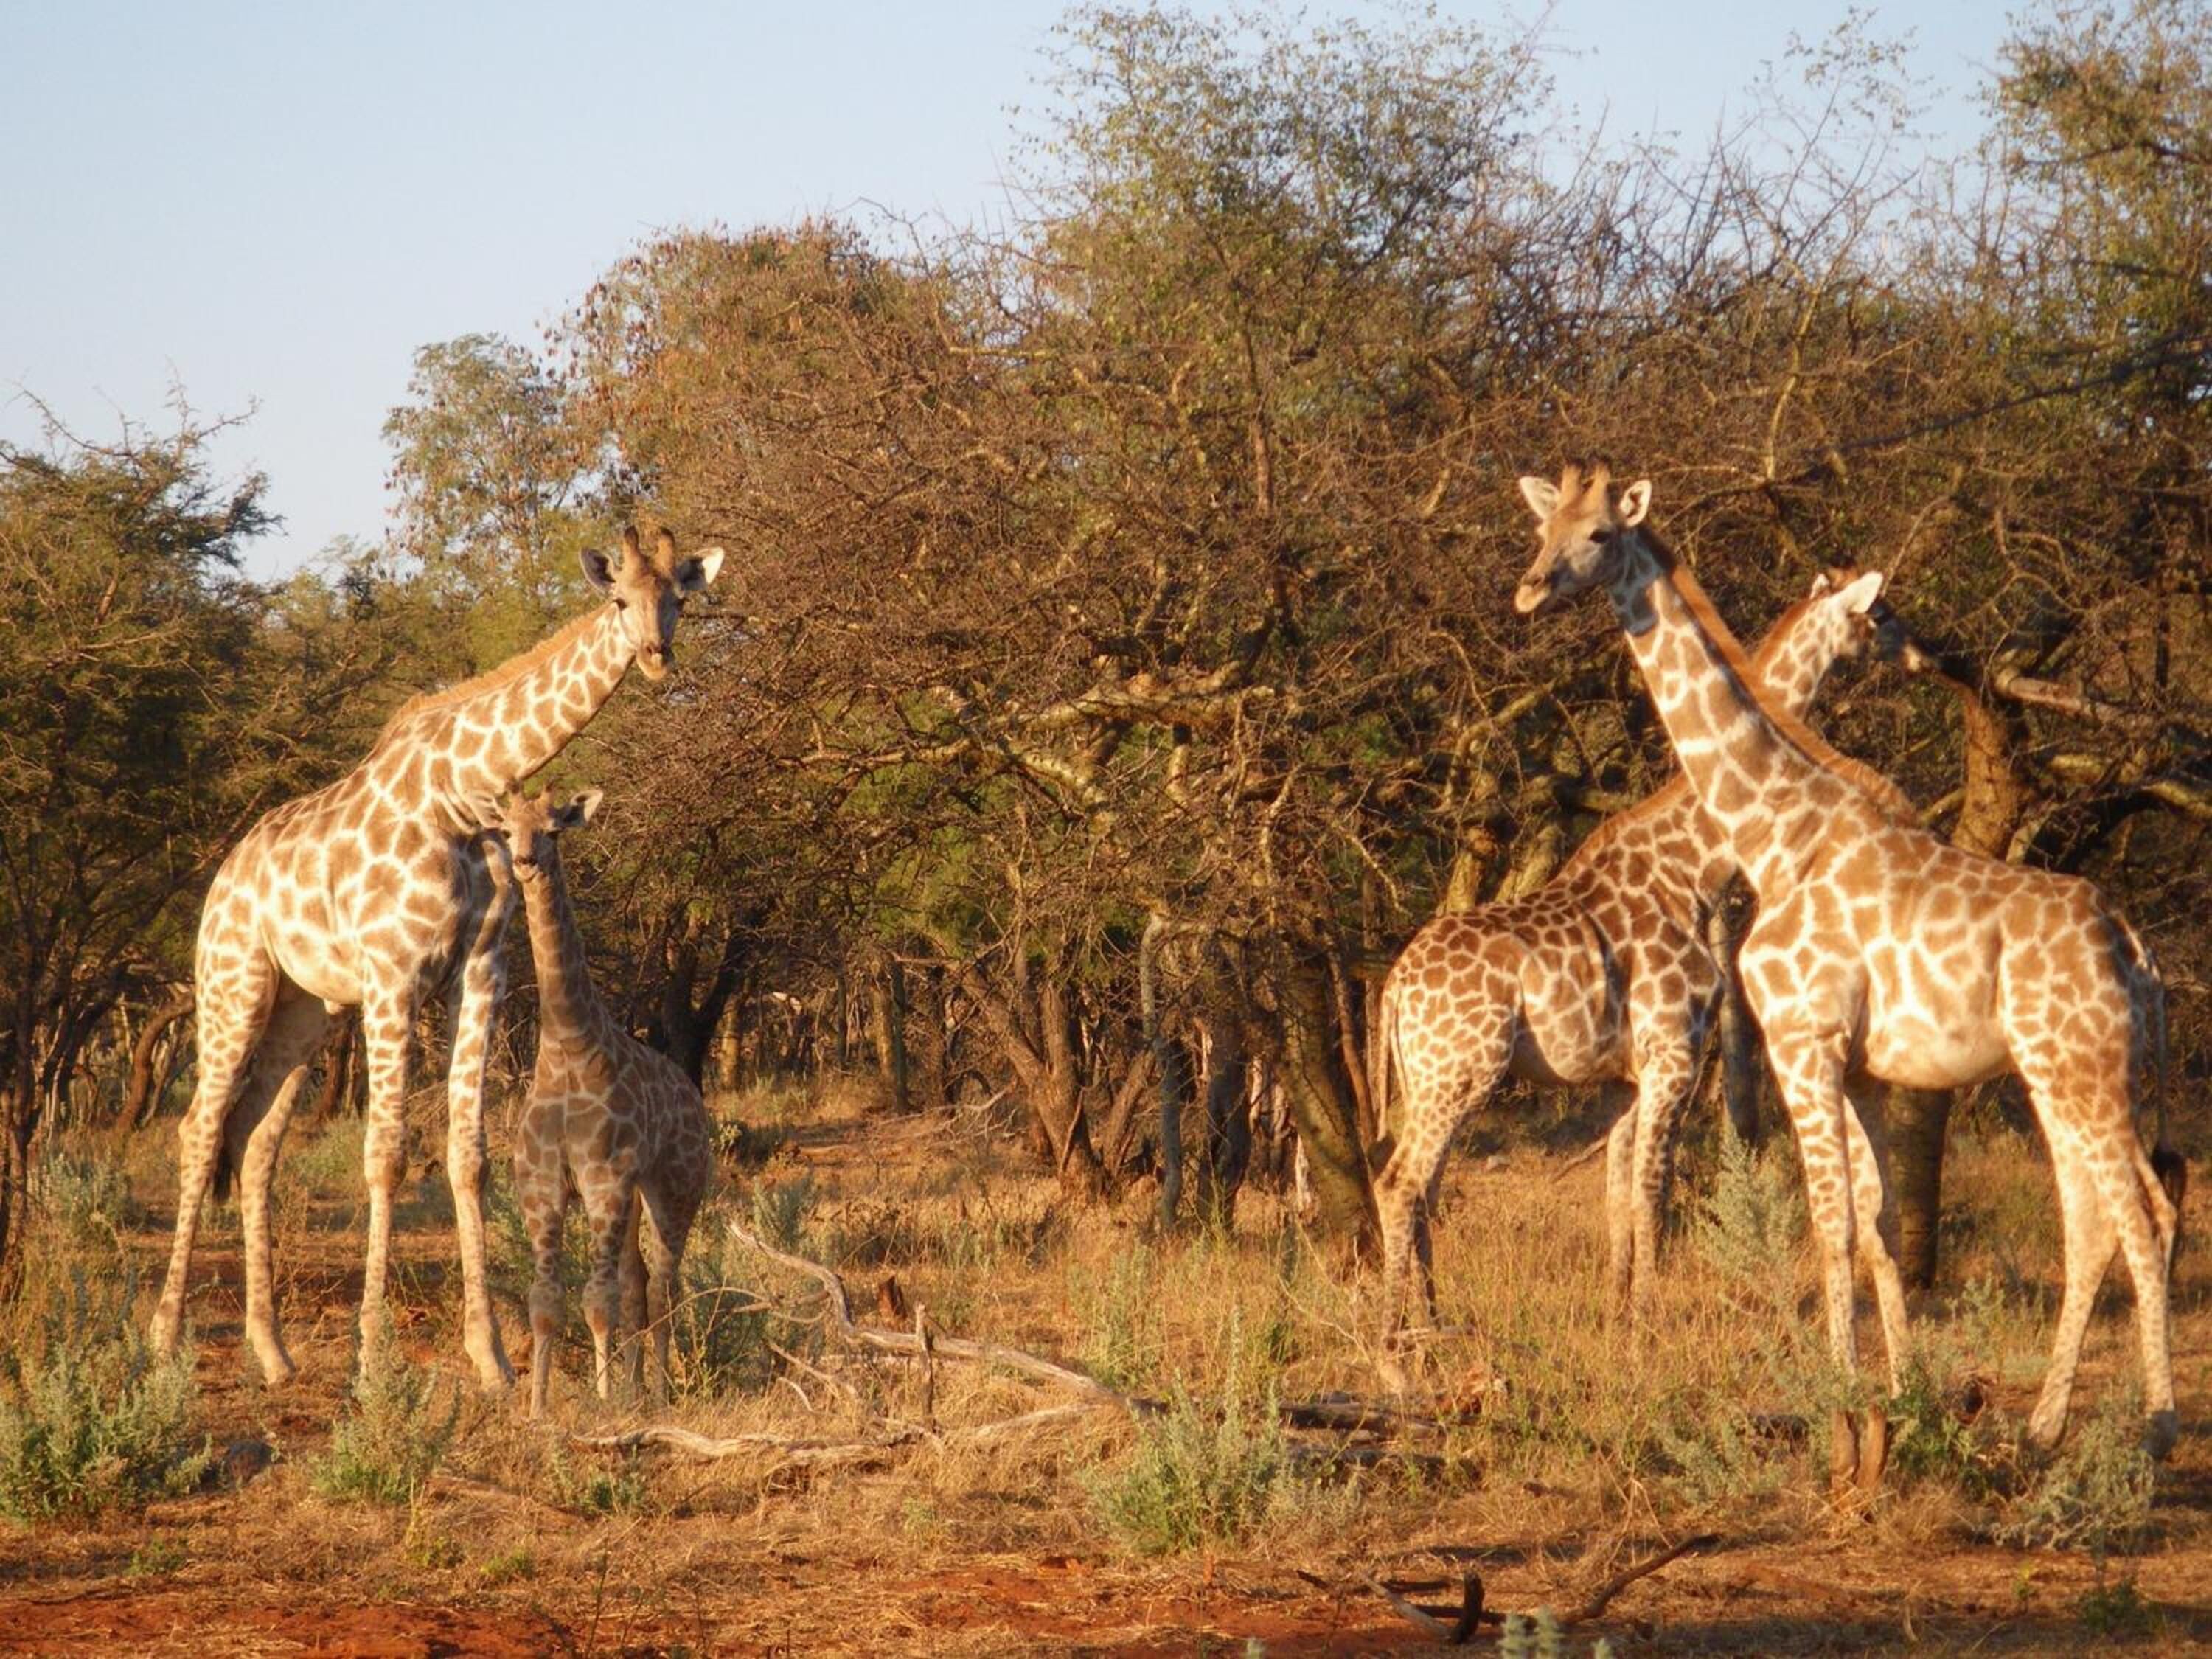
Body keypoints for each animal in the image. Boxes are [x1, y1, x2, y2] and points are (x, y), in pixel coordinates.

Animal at [493, 789, 713, 1416]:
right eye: (506, 829)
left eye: (554, 830)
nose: (525, 861)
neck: (569, 1045)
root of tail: (694, 1098)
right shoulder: (542, 1184)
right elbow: (545, 1299)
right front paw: (539, 1408)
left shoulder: (604, 1180)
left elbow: (597, 1299)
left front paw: (604, 1399)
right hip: (636, 1195)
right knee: (639, 1281)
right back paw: (640, 1389)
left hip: (676, 1185)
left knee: (664, 1285)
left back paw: (658, 1394)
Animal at [1372, 565, 1906, 1383]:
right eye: (1877, 614)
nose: (1910, 652)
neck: (1696, 864)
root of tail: (1396, 988)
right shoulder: (1674, 1051)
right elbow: (1653, 1192)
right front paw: (1648, 1336)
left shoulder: (1632, 1070)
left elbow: (1621, 1193)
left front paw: (1622, 1321)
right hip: (1462, 1070)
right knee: (1400, 1183)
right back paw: (1393, 1357)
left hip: (1433, 1077)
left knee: (1423, 1187)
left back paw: (1431, 1330)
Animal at [1513, 464, 2180, 1486]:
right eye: (1541, 529)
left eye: (1596, 536)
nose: (1530, 588)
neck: (1777, 833)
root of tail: (2135, 953)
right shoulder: (1860, 1065)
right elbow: (1875, 1220)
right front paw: (1899, 1408)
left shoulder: (1803, 1040)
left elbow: (1826, 1223)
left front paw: (1841, 1414)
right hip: (2064, 1074)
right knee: (2094, 1220)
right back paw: (2042, 1430)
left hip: (2085, 1070)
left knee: (2142, 1215)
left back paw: (2154, 1432)